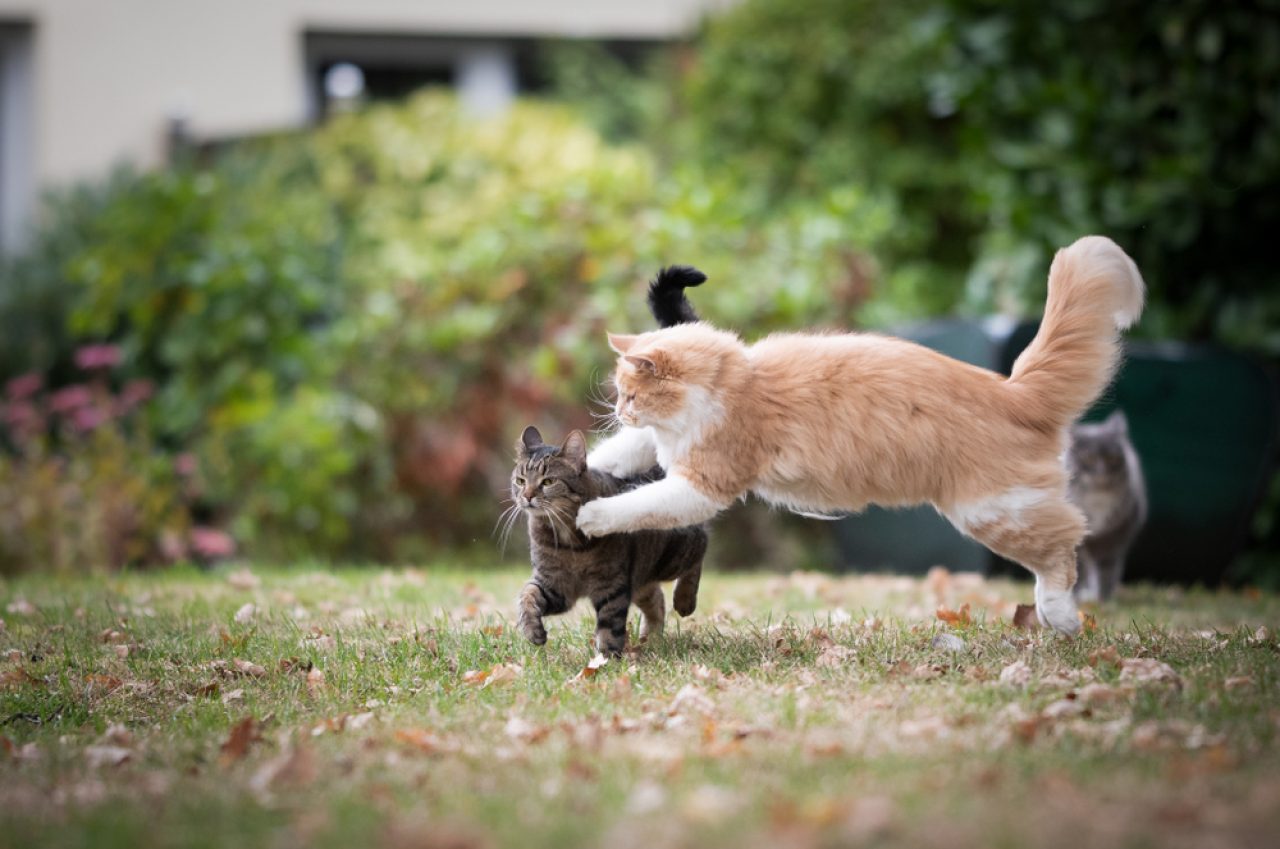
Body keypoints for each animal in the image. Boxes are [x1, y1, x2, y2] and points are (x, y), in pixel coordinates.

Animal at [509, 425, 711, 655]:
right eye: (520, 481)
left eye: (548, 481)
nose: (526, 496)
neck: (566, 539)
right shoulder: (555, 586)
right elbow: (527, 594)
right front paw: (531, 630)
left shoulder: (611, 586)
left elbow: (609, 627)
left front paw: (606, 659)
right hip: (638, 577)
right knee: (656, 599)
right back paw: (651, 639)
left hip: (673, 557)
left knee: (701, 546)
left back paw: (685, 600)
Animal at [576, 235, 1146, 635]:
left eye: (630, 394)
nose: (619, 409)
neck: (735, 381)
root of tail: (1014, 390)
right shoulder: (670, 443)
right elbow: (623, 454)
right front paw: (581, 470)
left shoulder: (702, 481)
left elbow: (639, 504)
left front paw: (592, 513)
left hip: (992, 512)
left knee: (1066, 546)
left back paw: (1063, 618)